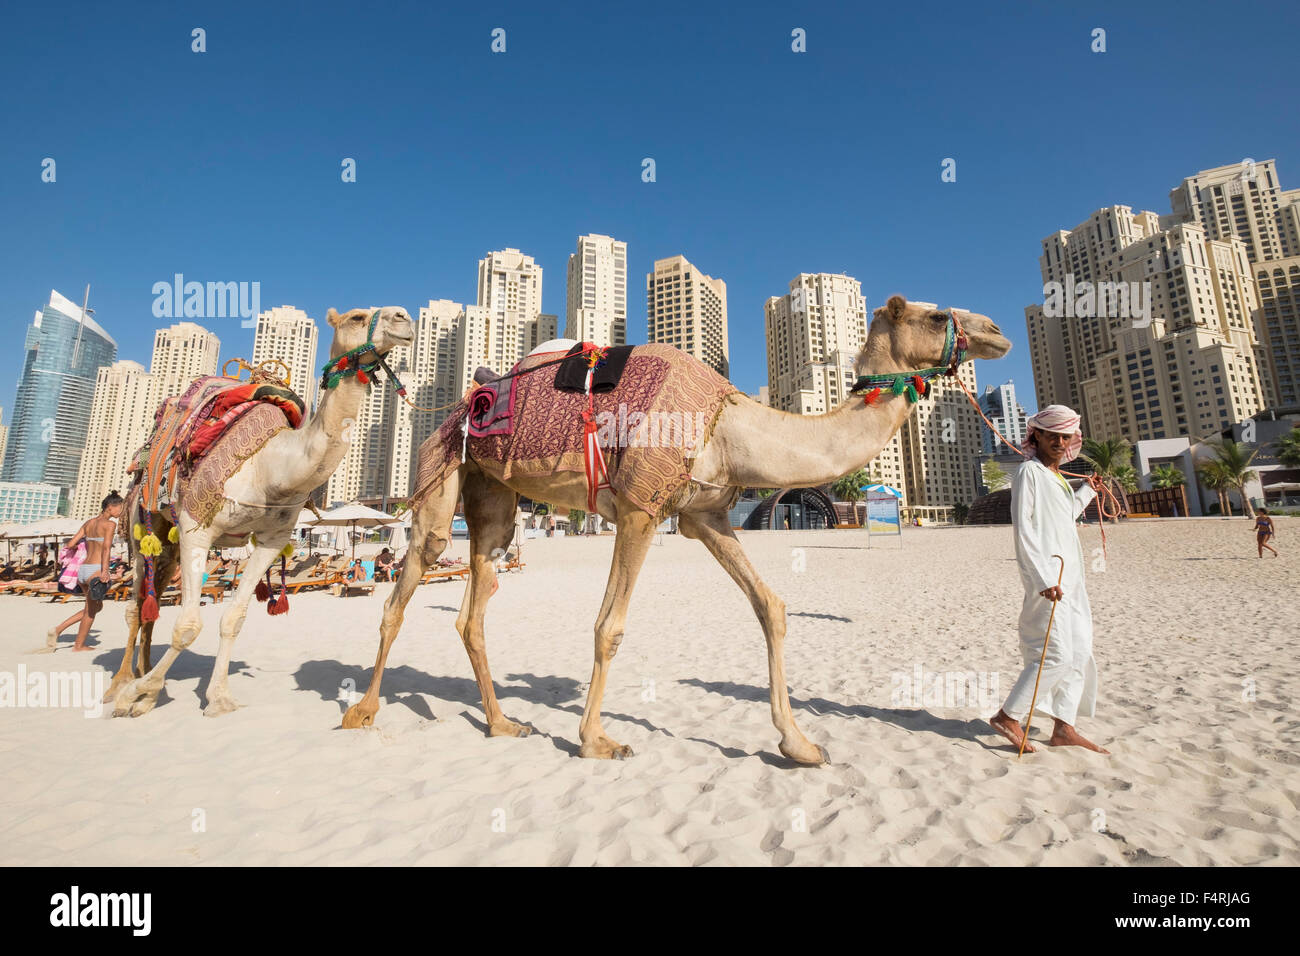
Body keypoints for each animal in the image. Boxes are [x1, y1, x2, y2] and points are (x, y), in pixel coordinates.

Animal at [113, 306, 416, 717]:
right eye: (357, 316)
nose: (404, 318)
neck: (270, 468)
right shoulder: (196, 527)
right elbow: (188, 625)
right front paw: (136, 692)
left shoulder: (272, 539)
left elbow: (233, 618)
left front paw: (217, 698)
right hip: (142, 522)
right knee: (136, 604)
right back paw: (121, 684)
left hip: (169, 542)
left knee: (153, 602)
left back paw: (145, 682)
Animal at [345, 295, 1013, 764]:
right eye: (937, 313)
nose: (996, 330)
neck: (728, 426)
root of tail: (454, 411)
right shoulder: (640, 506)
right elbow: (609, 627)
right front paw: (596, 741)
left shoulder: (704, 515)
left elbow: (771, 606)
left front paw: (800, 745)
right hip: (437, 470)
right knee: (412, 577)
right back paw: (362, 712)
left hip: (495, 499)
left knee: (474, 600)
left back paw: (502, 722)